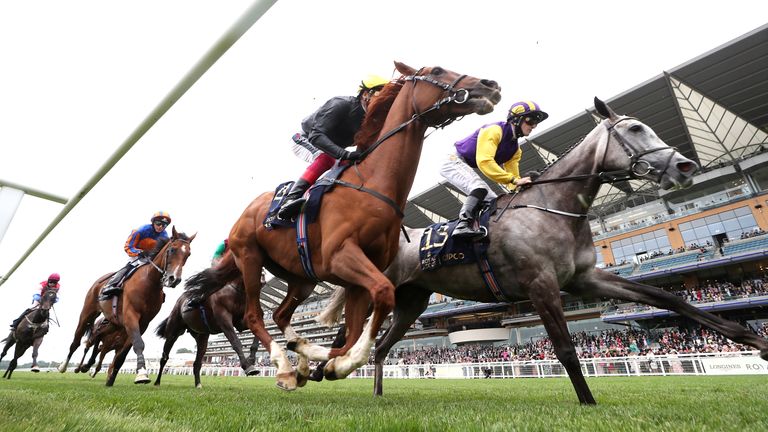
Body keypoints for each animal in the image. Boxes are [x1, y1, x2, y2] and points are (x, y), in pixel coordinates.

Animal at [57, 228, 195, 386]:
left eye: (188, 254)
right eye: (172, 249)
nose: (174, 279)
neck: (149, 283)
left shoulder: (143, 323)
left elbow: (124, 353)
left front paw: (111, 379)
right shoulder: (130, 315)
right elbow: (139, 344)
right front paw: (142, 374)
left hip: (113, 323)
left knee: (98, 340)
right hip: (87, 313)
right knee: (77, 341)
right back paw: (64, 366)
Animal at [187, 61, 504, 392]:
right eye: (438, 70)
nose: (490, 84)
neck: (373, 183)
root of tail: (245, 213)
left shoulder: (359, 275)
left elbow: (354, 328)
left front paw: (325, 359)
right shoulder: (341, 256)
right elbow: (382, 296)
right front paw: (333, 361)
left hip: (302, 278)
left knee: (281, 314)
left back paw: (299, 360)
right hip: (250, 258)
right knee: (254, 315)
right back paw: (285, 367)